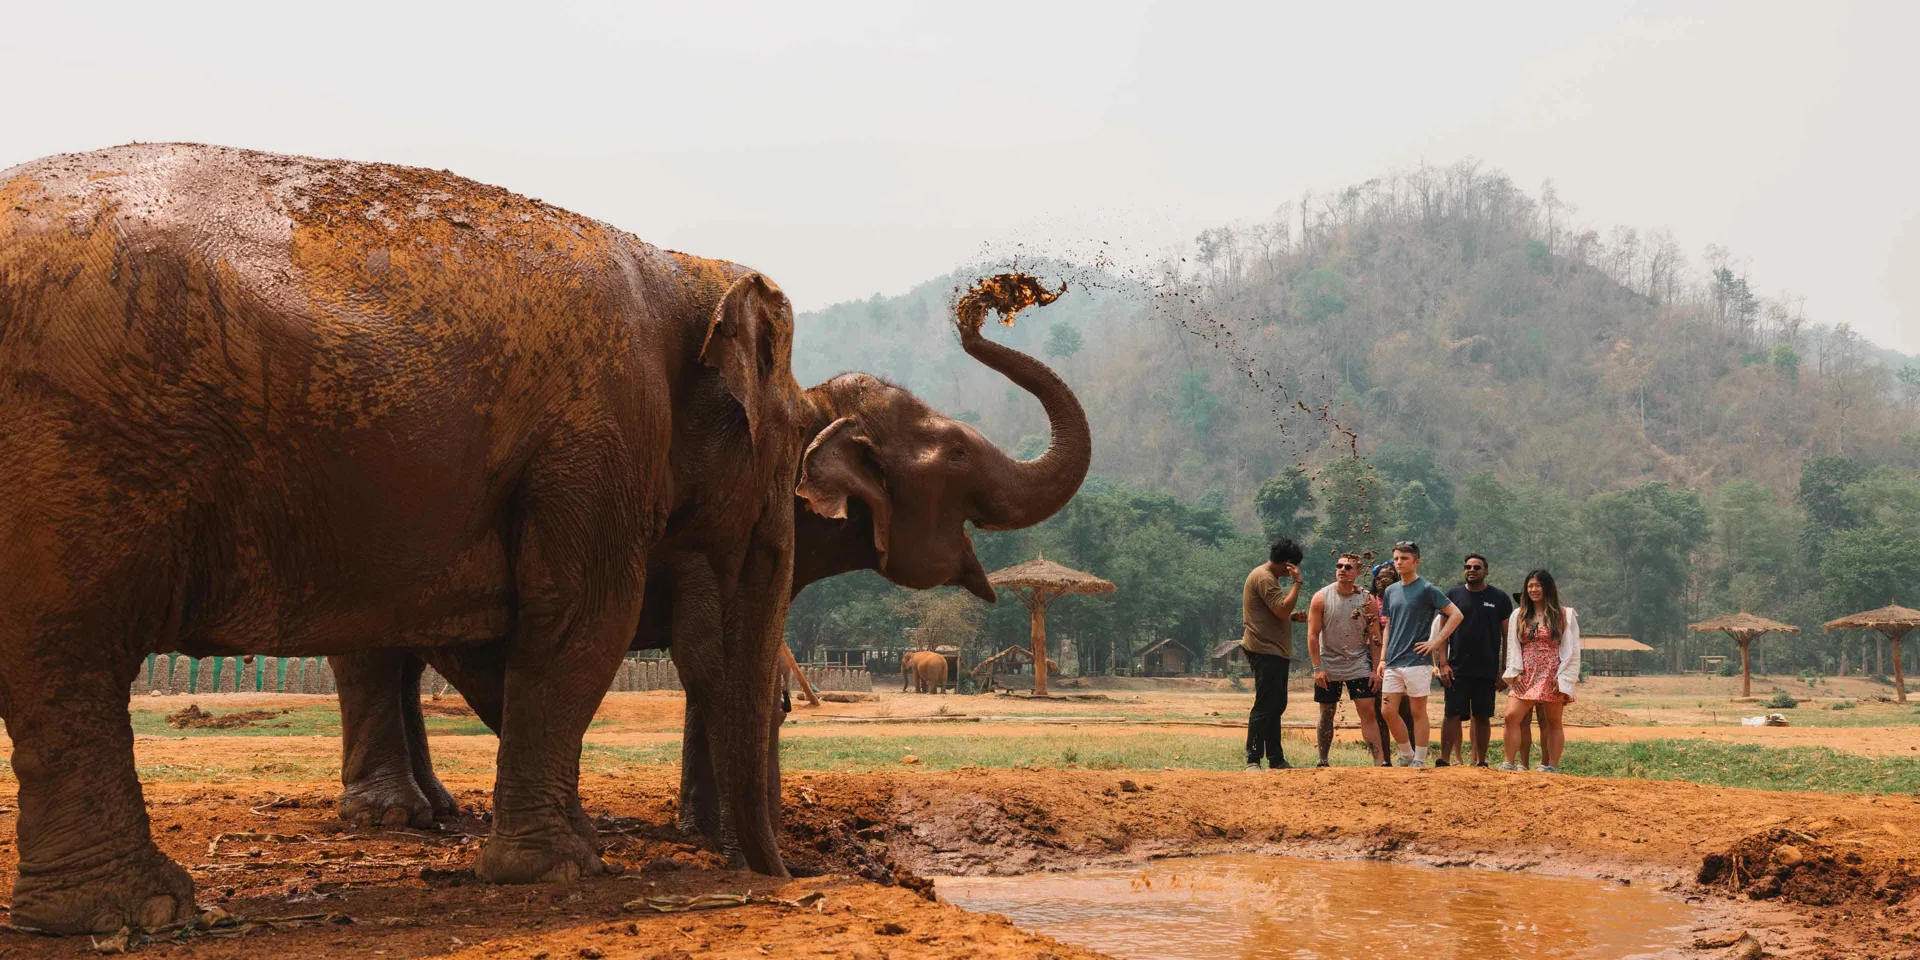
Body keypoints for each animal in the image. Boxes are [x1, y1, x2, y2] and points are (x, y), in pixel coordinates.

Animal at [0, 144, 810, 933]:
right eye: (797, 431)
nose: (778, 875)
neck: (681, 267)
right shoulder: (603, 429)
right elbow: (583, 619)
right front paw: (561, 867)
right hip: (73, 453)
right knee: (67, 650)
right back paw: (145, 909)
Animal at [328, 301, 1092, 857]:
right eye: (959, 451)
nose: (975, 314)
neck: (806, 404)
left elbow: (732, 668)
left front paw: (709, 830)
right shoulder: (716, 536)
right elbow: (717, 662)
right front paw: (736, 836)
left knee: (400, 661)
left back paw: (438, 807)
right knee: (371, 657)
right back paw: (395, 816)